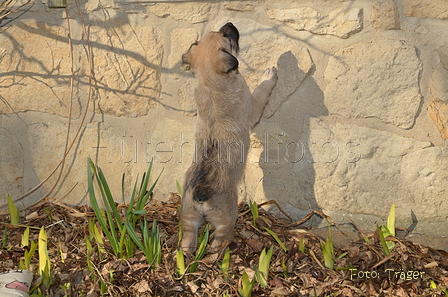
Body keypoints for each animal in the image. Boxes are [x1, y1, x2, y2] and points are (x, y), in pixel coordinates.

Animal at [178, 22, 276, 252]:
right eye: (227, 36)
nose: (230, 24)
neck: (210, 81)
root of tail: (200, 193)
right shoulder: (253, 105)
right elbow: (262, 90)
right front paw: (269, 76)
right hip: (226, 217)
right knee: (220, 239)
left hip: (188, 218)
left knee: (188, 241)